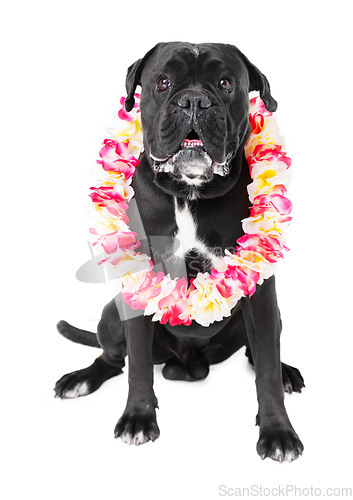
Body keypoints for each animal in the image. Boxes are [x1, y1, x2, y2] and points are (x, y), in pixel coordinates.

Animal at [54, 41, 302, 462]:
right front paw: (138, 418)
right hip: (111, 315)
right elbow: (137, 364)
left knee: (258, 354)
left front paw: (278, 431)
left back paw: (287, 372)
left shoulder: (262, 295)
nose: (194, 101)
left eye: (225, 83)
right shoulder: (139, 283)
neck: (190, 191)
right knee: (111, 359)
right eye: (163, 82)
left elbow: (266, 367)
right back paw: (81, 379)